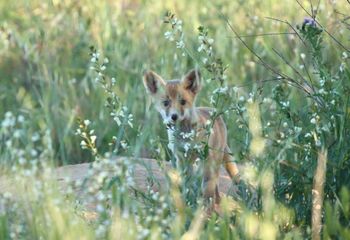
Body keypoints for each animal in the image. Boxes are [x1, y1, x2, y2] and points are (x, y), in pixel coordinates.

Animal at [142, 68, 238, 210]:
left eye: (182, 102)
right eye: (166, 103)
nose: (174, 116)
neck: (184, 137)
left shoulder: (207, 157)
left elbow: (207, 185)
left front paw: (205, 206)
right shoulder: (181, 157)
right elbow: (186, 182)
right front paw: (187, 200)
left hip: (215, 159)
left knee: (214, 181)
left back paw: (215, 201)